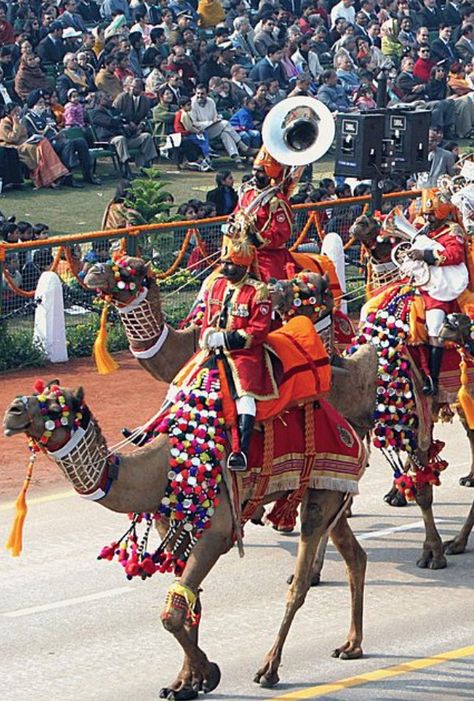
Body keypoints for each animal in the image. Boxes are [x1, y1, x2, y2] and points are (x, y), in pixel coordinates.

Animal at [4, 386, 366, 696]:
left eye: (56, 407)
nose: (12, 410)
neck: (161, 468)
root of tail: (350, 431)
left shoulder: (218, 532)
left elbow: (172, 613)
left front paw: (208, 673)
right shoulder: (172, 526)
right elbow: (189, 599)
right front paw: (184, 683)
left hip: (322, 491)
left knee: (299, 583)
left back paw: (269, 668)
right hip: (328, 492)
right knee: (354, 555)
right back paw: (352, 646)